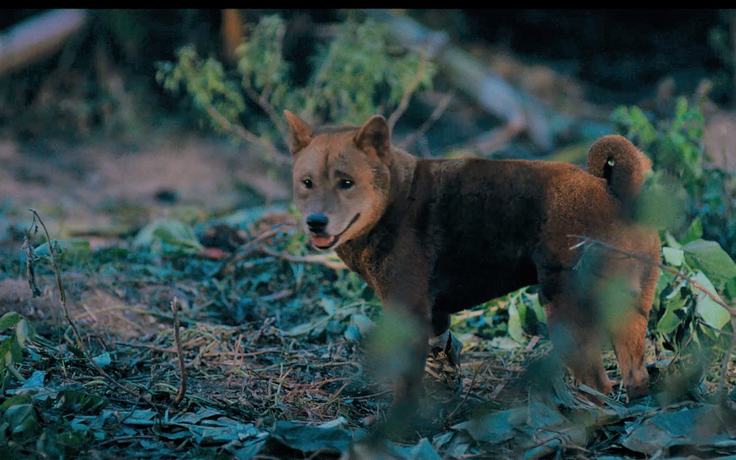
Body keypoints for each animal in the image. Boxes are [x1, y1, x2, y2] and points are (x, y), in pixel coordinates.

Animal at [284, 110, 660, 414]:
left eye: (346, 182)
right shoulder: (434, 312)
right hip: (632, 309)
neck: (395, 200)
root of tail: (615, 190)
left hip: (567, 310)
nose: (316, 222)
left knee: (598, 383)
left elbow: (405, 381)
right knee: (636, 376)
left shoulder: (407, 309)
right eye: (307, 183)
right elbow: (441, 357)